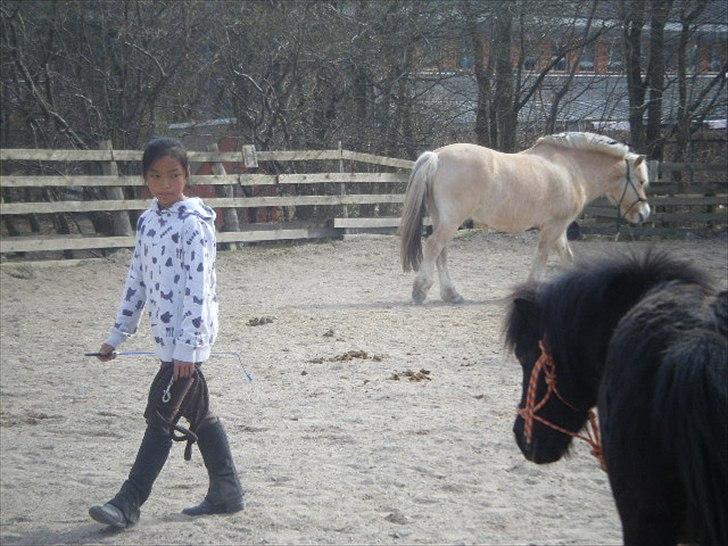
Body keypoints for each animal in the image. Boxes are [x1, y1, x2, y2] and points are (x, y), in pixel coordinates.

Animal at [399, 132, 651, 304]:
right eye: (641, 181)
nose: (644, 214)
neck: (572, 170)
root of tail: (437, 156)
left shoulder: (560, 228)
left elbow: (567, 257)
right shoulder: (554, 226)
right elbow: (542, 255)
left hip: (442, 219)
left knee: (441, 253)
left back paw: (451, 294)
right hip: (451, 221)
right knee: (433, 247)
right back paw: (420, 290)